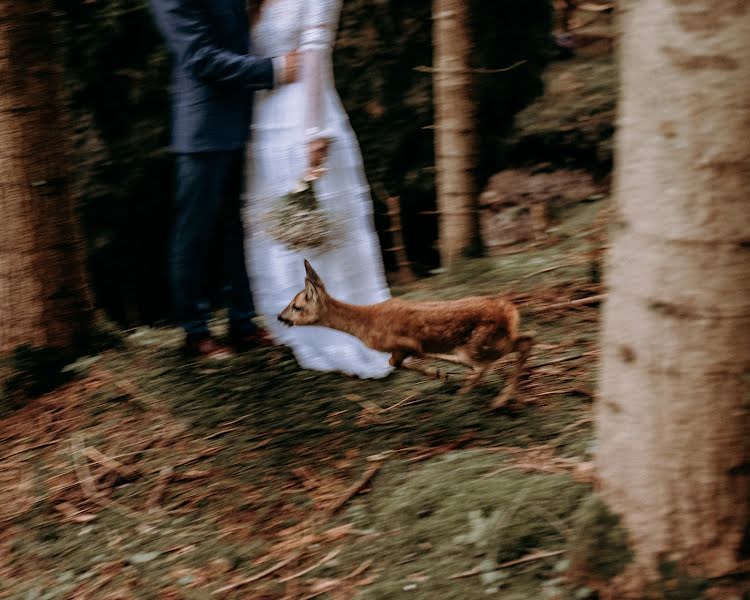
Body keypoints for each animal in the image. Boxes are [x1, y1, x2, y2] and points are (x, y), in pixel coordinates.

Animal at [278, 258, 536, 408]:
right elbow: (412, 358)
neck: (365, 326)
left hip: (480, 343)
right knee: (527, 338)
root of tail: (511, 312)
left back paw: (488, 399)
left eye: (296, 306)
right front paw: (443, 373)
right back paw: (512, 397)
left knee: (491, 360)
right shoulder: (411, 346)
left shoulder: (401, 343)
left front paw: (442, 374)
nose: (280, 317)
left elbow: (396, 362)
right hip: (496, 340)